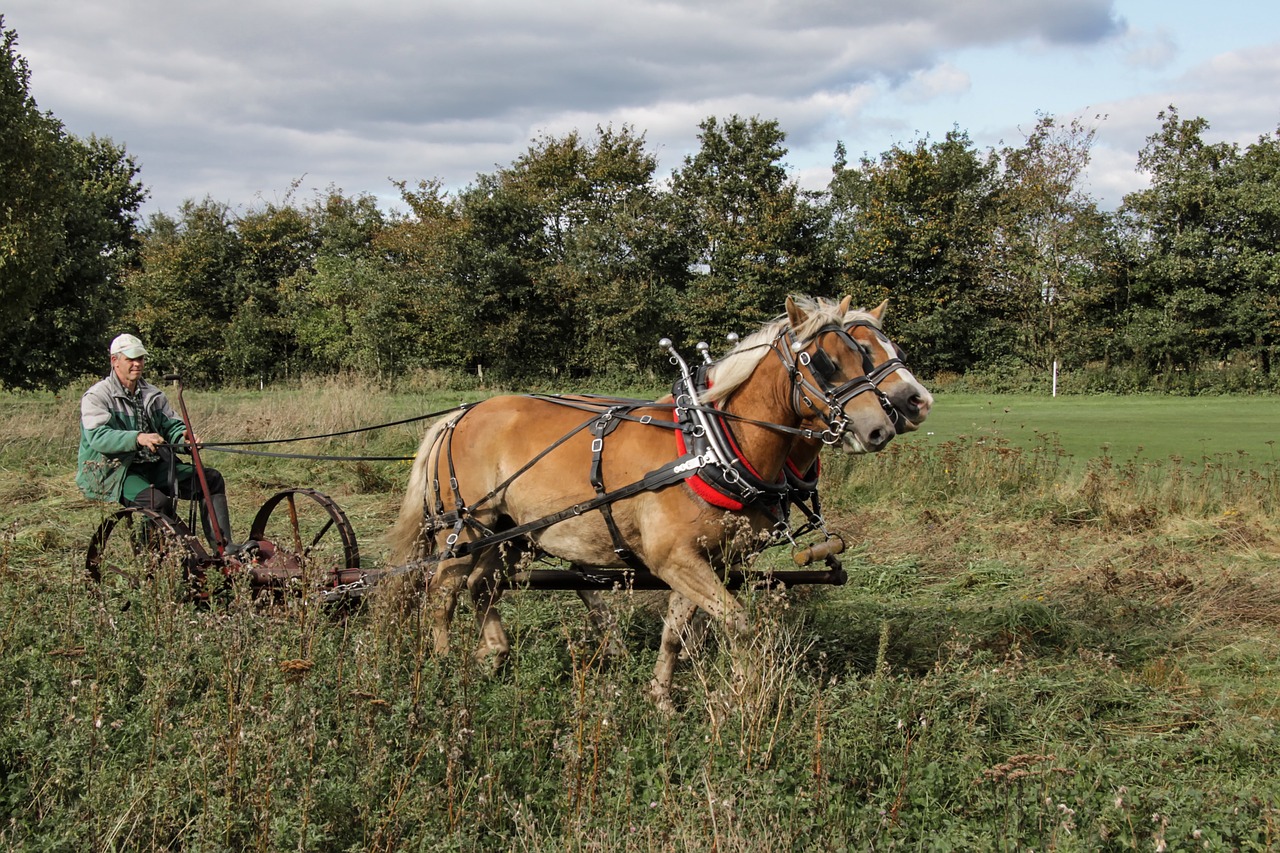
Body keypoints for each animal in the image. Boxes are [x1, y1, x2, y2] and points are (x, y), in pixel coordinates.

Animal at [389, 295, 901, 706]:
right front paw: (746, 696)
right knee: (443, 593)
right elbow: (738, 624)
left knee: (482, 586)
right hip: (464, 529)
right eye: (823, 362)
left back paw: (494, 652)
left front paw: (661, 697)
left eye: (861, 356)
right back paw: (445, 666)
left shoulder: (704, 561)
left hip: (506, 532)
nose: (882, 426)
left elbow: (675, 631)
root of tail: (459, 416)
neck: (710, 444)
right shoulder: (672, 558)